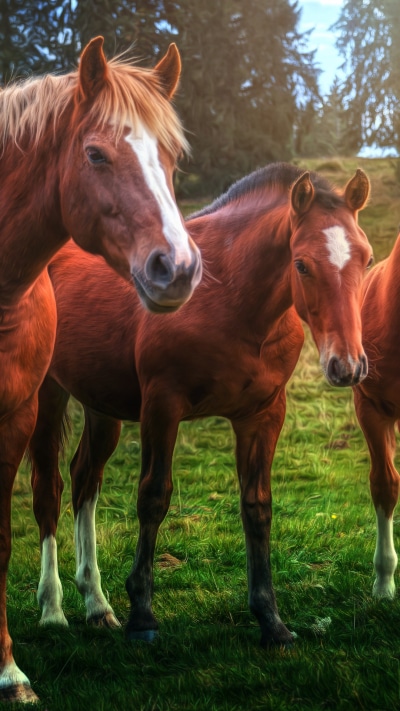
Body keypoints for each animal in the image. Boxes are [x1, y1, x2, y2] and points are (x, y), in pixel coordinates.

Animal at [0, 37, 201, 703]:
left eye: (172, 158)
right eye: (95, 153)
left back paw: (87, 605)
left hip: (92, 408)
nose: (178, 268)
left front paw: (9, 672)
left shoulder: (15, 418)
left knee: (76, 483)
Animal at [29, 162, 372, 665]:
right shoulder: (162, 405)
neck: (229, 296)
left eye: (366, 259)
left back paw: (96, 604)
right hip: (48, 396)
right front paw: (142, 616)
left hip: (101, 406)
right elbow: (153, 498)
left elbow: (257, 507)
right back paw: (52, 609)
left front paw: (271, 621)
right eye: (302, 264)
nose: (346, 366)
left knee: (84, 480)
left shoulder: (263, 415)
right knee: (48, 489)